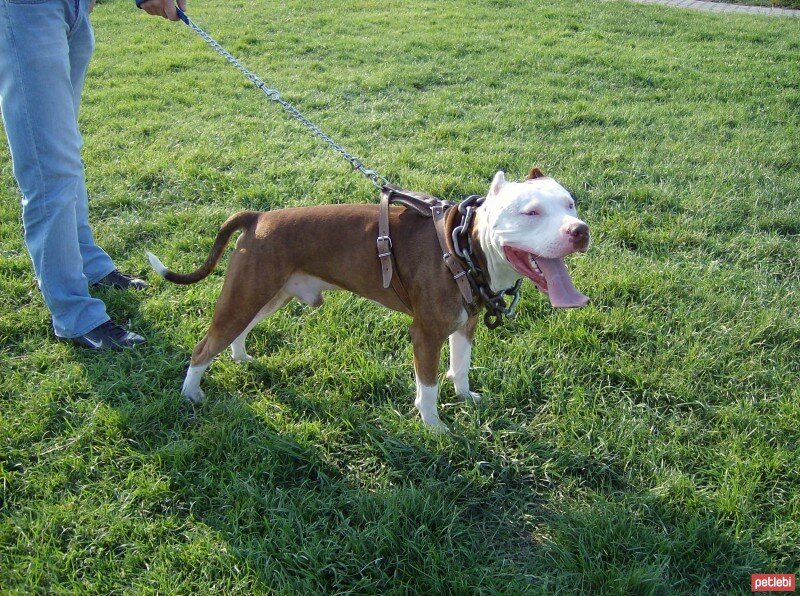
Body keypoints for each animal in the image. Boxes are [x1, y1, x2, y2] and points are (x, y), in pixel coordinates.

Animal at [148, 168, 588, 428]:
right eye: (530, 212)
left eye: (570, 204)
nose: (580, 230)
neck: (466, 245)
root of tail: (258, 218)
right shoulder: (426, 334)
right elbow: (428, 387)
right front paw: (434, 427)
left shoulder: (466, 323)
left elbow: (460, 367)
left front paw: (465, 397)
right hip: (245, 296)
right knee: (204, 346)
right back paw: (191, 394)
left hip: (267, 296)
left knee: (239, 331)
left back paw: (240, 358)